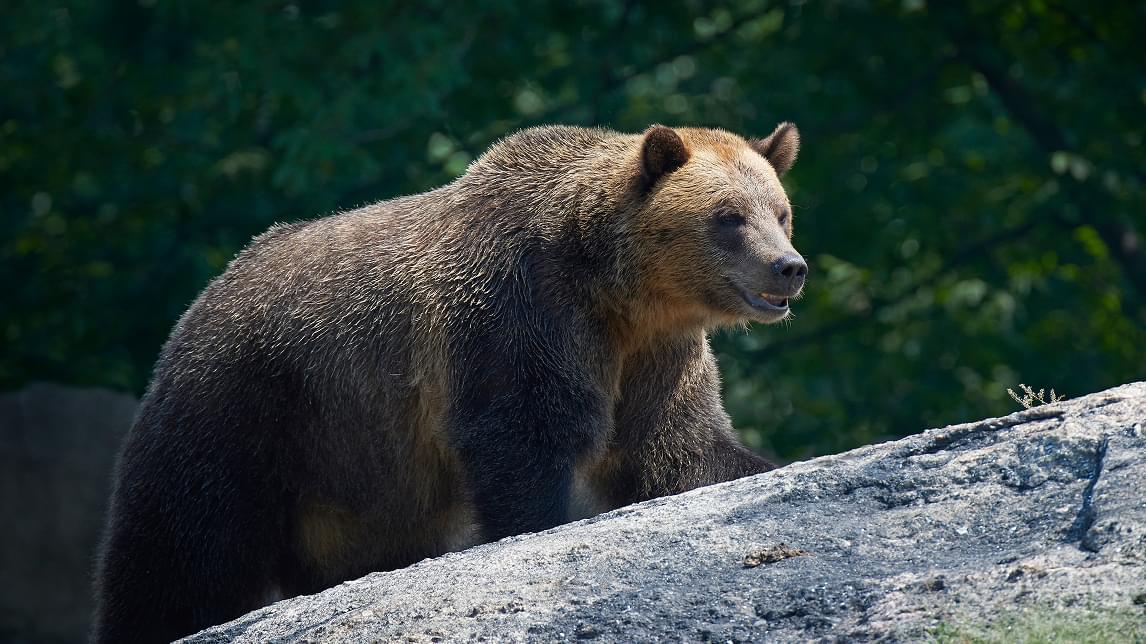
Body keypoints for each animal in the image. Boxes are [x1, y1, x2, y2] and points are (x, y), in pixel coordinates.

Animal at [92, 122, 806, 643]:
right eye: (727, 217)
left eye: (780, 211)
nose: (789, 267)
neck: (619, 294)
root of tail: (208, 294)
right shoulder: (519, 315)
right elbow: (523, 438)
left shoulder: (657, 355)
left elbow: (679, 451)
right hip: (248, 407)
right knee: (181, 547)